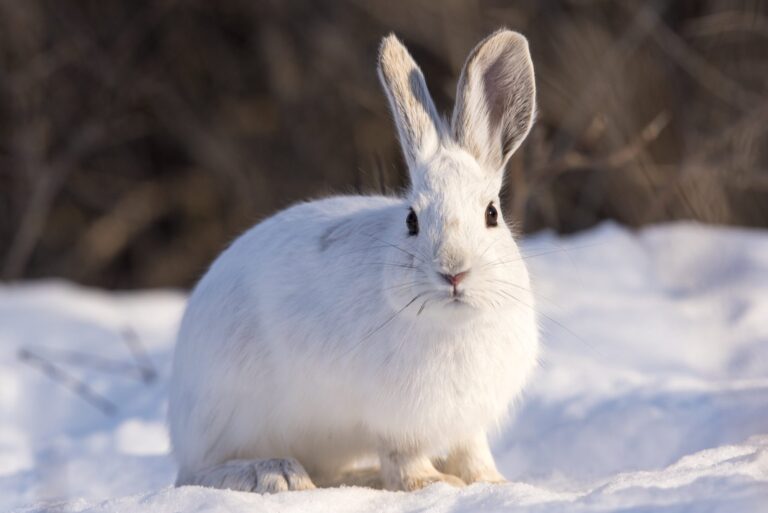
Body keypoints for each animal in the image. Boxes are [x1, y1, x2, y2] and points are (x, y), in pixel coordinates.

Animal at [168, 28, 539, 493]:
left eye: (492, 214)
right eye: (412, 220)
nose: (454, 272)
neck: (454, 325)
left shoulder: (466, 424)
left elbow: (472, 453)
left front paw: (494, 483)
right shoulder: (395, 422)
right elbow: (405, 460)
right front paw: (432, 484)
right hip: (230, 411)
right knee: (196, 473)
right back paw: (276, 473)